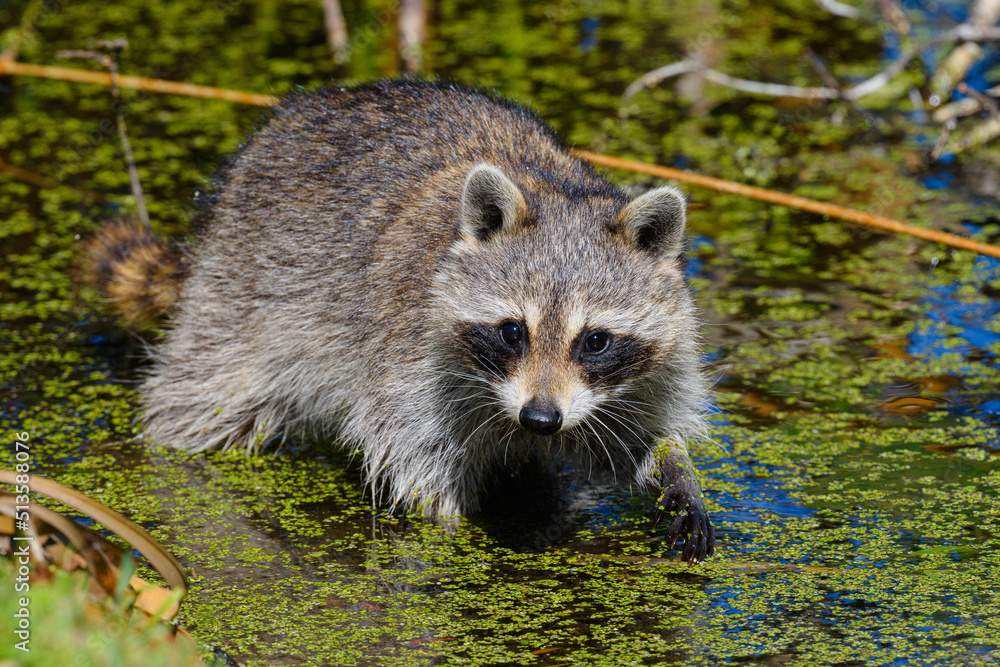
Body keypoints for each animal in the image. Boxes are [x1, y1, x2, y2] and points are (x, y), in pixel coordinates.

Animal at [88, 80, 715, 562]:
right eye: (513, 331)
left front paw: (675, 471)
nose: (540, 419)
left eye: (596, 341)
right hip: (236, 293)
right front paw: (460, 534)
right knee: (202, 396)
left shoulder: (649, 368)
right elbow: (417, 471)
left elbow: (640, 436)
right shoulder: (407, 362)